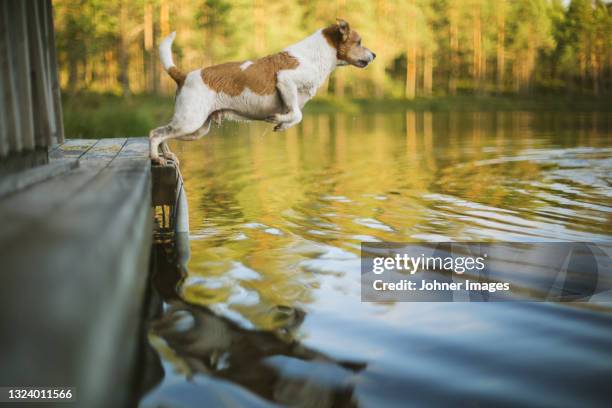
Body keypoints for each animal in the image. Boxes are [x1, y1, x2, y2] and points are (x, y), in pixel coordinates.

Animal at [150, 18, 376, 163]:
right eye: (359, 42)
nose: (374, 54)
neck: (315, 55)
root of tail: (184, 75)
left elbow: (295, 117)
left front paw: (282, 125)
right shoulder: (285, 81)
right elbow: (297, 114)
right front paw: (278, 119)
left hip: (196, 130)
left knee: (163, 134)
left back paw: (166, 155)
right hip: (189, 122)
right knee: (155, 134)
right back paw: (155, 158)